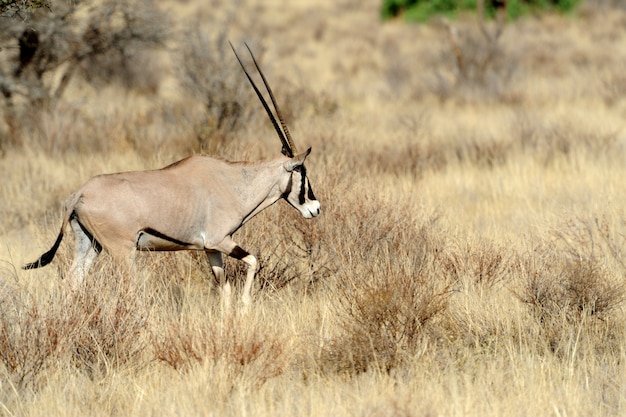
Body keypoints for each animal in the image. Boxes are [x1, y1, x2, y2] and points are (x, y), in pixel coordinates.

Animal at [22, 43, 320, 306]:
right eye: (302, 172)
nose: (315, 208)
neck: (236, 182)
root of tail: (79, 193)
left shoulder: (211, 249)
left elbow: (224, 291)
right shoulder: (221, 240)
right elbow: (254, 261)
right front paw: (246, 307)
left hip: (89, 244)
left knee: (71, 284)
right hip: (123, 251)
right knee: (127, 291)